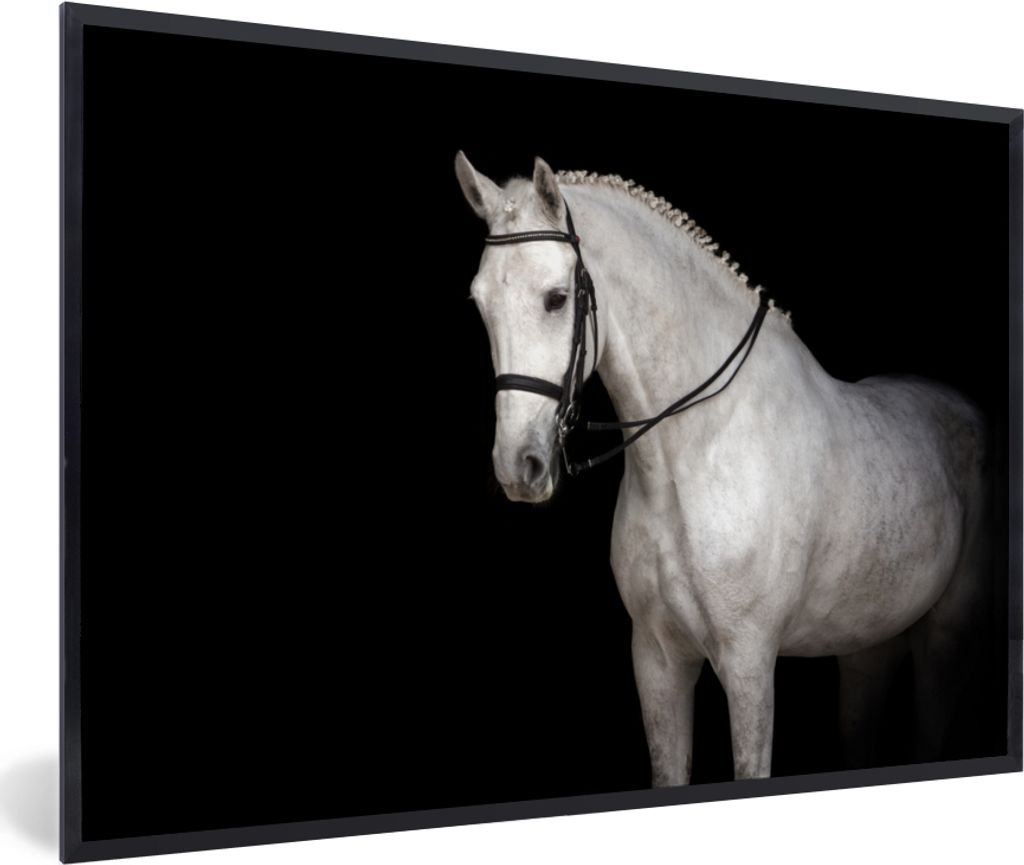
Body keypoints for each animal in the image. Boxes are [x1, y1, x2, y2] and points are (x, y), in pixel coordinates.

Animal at [455, 152, 991, 784]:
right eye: (480, 303)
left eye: (556, 298)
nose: (520, 466)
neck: (693, 454)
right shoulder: (656, 659)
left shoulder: (748, 660)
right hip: (869, 645)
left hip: (946, 640)